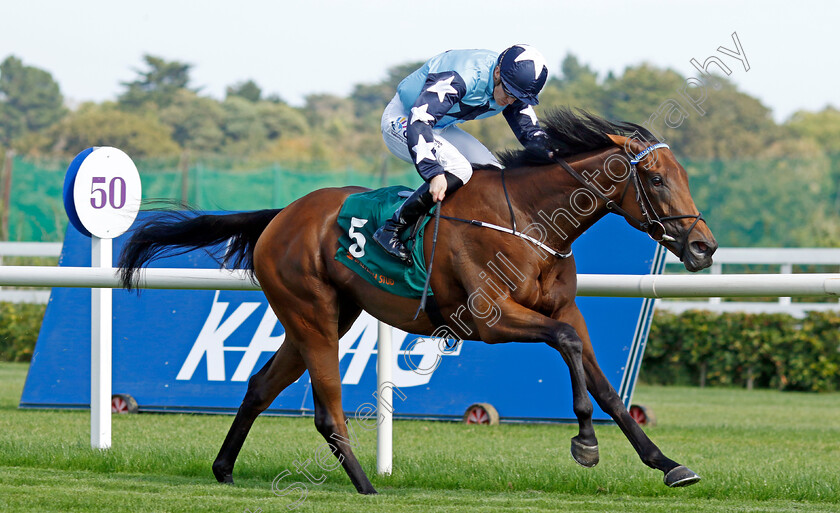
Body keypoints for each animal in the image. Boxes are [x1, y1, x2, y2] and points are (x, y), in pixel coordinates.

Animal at [118, 108, 720, 492]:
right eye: (657, 180)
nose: (703, 246)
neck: (532, 221)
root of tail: (281, 215)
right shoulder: (489, 319)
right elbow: (568, 347)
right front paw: (585, 440)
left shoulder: (564, 309)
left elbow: (605, 384)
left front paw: (667, 463)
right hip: (312, 315)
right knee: (327, 409)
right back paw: (366, 486)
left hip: (326, 317)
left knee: (261, 385)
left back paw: (224, 468)